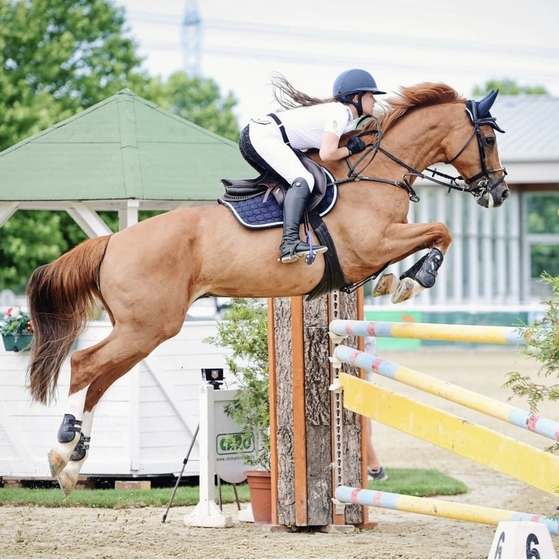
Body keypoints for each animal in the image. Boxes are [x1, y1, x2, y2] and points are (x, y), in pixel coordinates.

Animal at [25, 82, 508, 494]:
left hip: (143, 331)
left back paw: (73, 464)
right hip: (146, 327)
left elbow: (430, 237)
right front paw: (413, 279)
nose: (500, 192)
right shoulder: (372, 246)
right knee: (85, 365)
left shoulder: (379, 248)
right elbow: (441, 231)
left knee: (100, 381)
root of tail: (111, 242)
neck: (378, 173)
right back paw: (62, 449)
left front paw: (397, 280)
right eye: (486, 139)